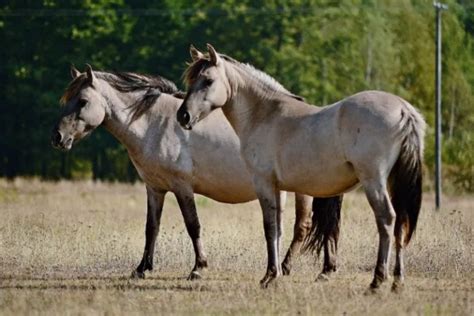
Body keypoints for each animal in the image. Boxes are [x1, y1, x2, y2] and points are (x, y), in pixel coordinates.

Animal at [177, 44, 426, 292]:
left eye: (208, 80)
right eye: (191, 81)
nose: (183, 116)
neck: (264, 114)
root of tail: (403, 109)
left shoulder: (264, 183)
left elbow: (269, 228)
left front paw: (269, 275)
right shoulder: (278, 189)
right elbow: (278, 230)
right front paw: (275, 274)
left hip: (374, 182)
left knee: (386, 219)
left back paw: (377, 280)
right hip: (393, 184)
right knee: (401, 224)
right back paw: (397, 280)